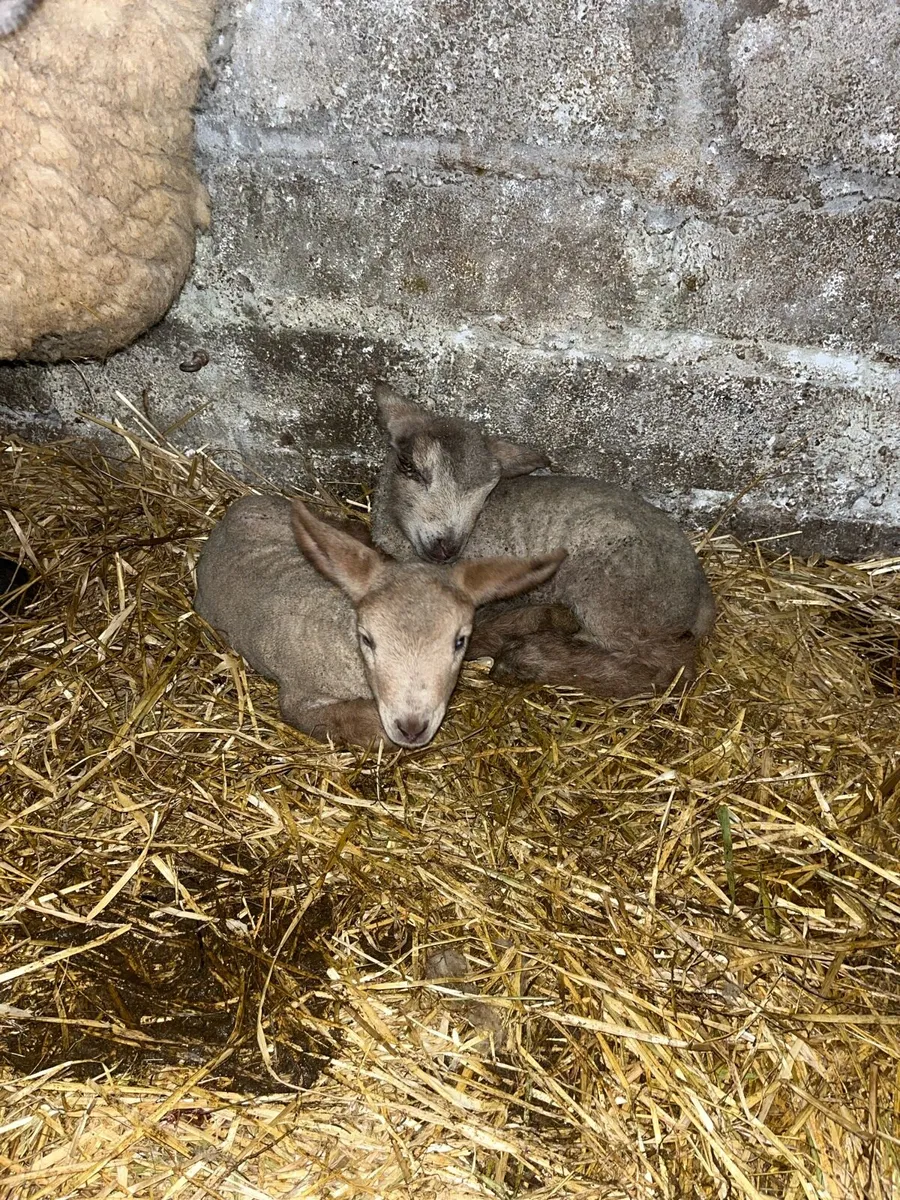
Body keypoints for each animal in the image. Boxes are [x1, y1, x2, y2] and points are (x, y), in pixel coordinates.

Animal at [194, 494, 566, 748]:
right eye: (367, 639)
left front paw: (550, 620)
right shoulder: (301, 701)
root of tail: (236, 508)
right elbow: (374, 731)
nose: (412, 727)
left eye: (459, 641)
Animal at [370, 387, 716, 697]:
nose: (447, 546)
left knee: (665, 666)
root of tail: (701, 594)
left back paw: (530, 658)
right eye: (409, 466)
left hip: (612, 598)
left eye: (486, 491)